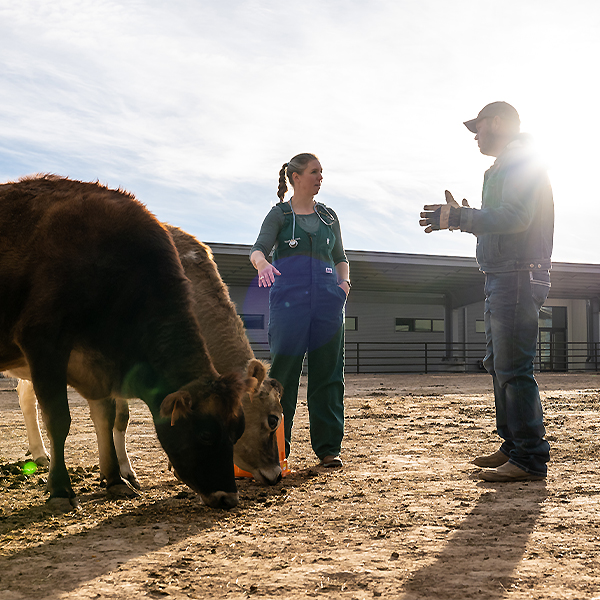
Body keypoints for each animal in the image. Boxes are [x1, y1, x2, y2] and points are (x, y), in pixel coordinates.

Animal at [0, 175, 246, 510]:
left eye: (237, 432)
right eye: (205, 434)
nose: (228, 497)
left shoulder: (100, 365)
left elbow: (105, 418)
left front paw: (115, 479)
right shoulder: (43, 343)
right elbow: (59, 420)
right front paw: (61, 490)